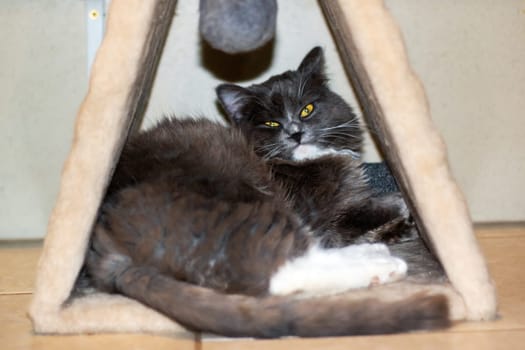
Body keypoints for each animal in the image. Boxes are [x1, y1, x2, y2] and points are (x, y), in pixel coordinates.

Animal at [85, 46, 446, 336]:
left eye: (307, 109)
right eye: (271, 124)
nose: (295, 133)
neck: (307, 162)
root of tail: (107, 249)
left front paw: (400, 225)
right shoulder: (325, 213)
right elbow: (373, 207)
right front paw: (403, 208)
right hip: (244, 201)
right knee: (278, 269)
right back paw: (380, 265)